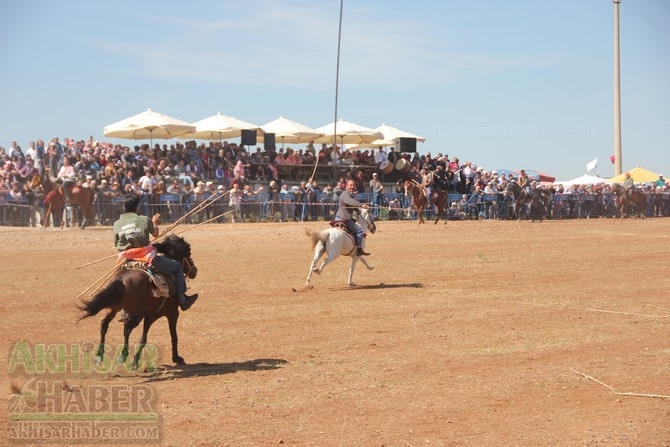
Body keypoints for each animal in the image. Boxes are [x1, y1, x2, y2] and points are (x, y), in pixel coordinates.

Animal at [79, 234, 198, 372]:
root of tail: (121, 280)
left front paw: (135, 361)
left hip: (113, 308)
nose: (194, 270)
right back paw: (123, 355)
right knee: (126, 328)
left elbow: (143, 339)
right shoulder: (172, 313)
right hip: (136, 315)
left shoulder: (150, 316)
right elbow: (174, 336)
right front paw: (177, 358)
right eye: (188, 252)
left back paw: (99, 355)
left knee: (104, 324)